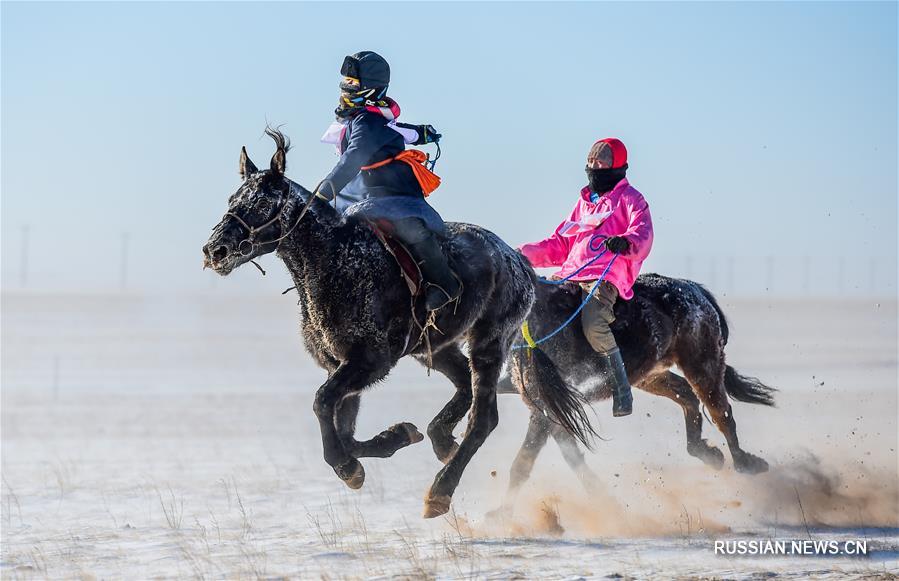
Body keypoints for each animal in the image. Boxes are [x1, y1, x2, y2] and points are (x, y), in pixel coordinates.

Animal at [205, 128, 596, 516]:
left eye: (261, 204)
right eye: (232, 198)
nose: (214, 251)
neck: (333, 263)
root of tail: (518, 261)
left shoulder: (369, 361)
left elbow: (322, 403)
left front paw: (348, 468)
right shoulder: (341, 365)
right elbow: (344, 429)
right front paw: (396, 437)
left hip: (490, 342)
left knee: (483, 417)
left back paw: (440, 490)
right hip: (435, 349)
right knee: (464, 388)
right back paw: (441, 440)